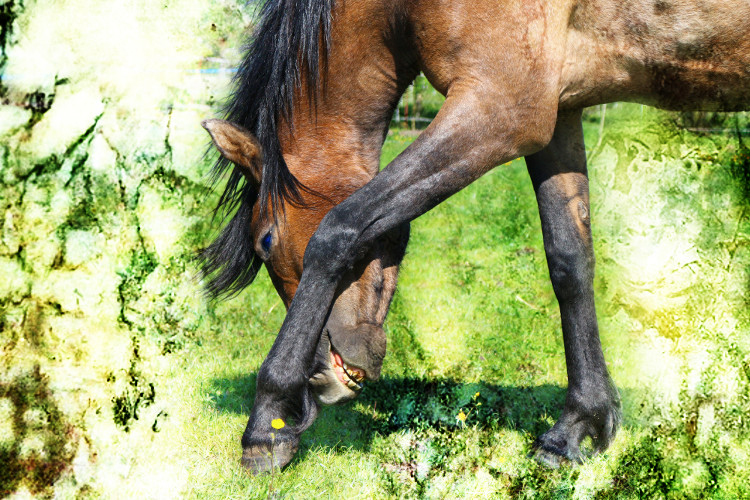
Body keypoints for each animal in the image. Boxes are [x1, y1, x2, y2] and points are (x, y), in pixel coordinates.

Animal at [201, 0, 750, 473]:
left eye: (265, 241)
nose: (319, 375)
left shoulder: (501, 110)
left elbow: (340, 229)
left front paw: (267, 425)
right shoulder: (557, 115)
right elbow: (570, 261)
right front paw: (579, 427)